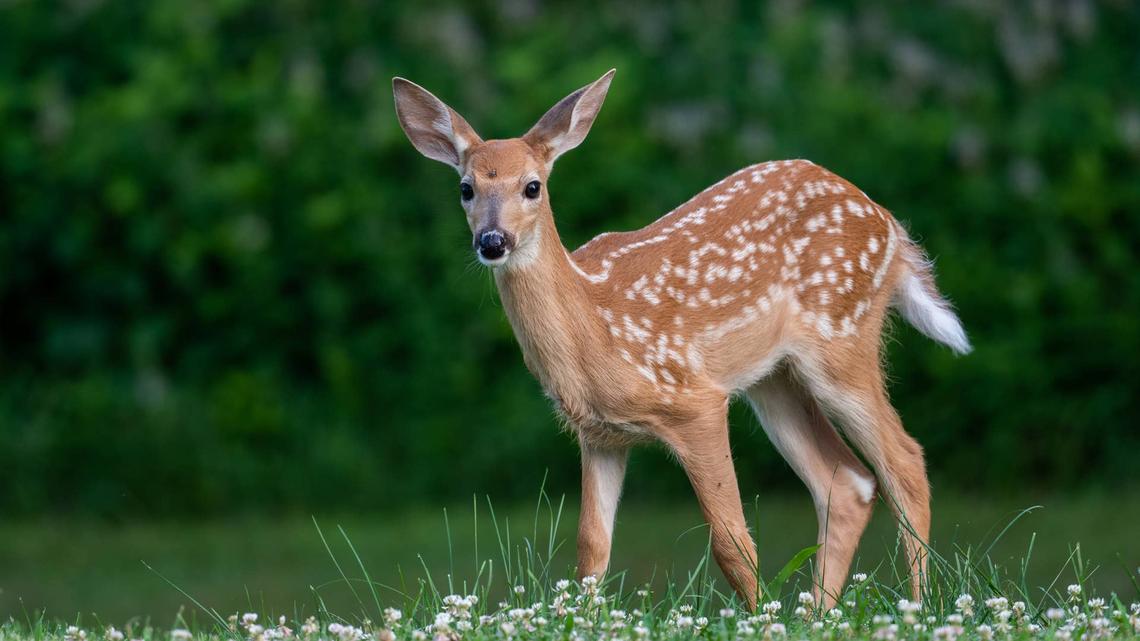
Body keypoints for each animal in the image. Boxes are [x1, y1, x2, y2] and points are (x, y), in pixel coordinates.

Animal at [392, 69, 971, 610]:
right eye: (466, 188)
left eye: (532, 186)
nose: (493, 241)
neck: (593, 329)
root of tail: (890, 225)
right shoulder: (600, 436)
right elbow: (591, 550)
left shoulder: (696, 403)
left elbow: (731, 543)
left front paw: (759, 620)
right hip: (774, 378)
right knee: (847, 482)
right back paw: (818, 616)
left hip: (842, 337)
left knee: (904, 462)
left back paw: (918, 607)